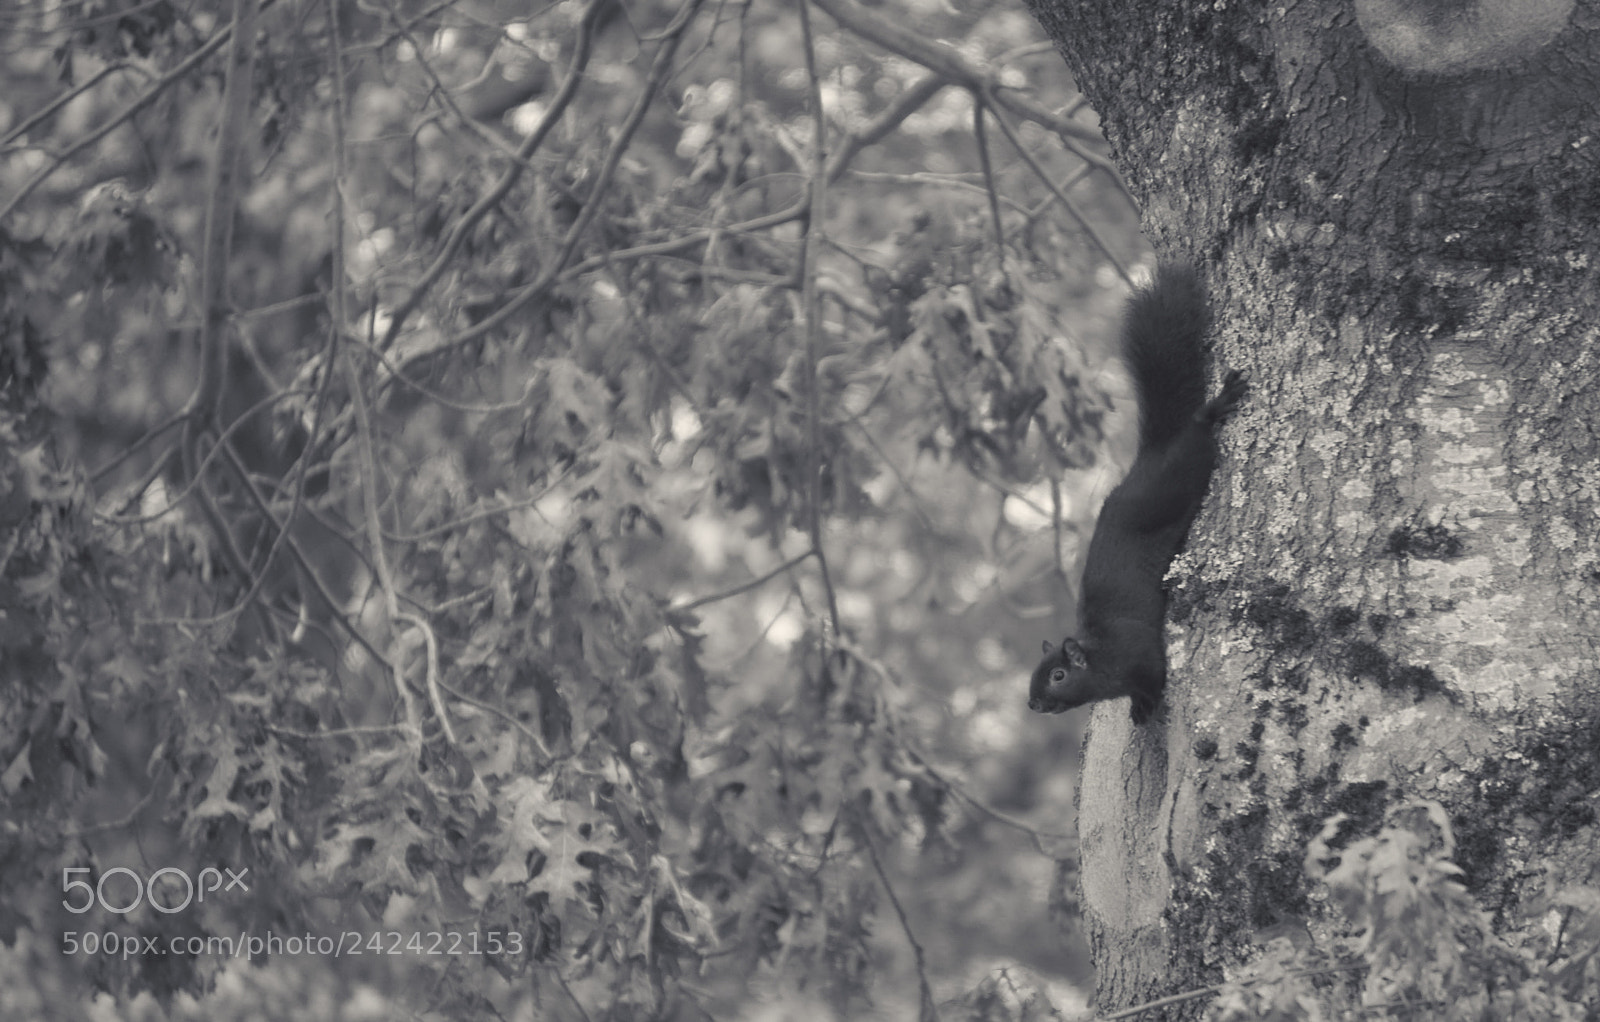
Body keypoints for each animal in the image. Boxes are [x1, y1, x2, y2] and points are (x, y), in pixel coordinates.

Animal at [1028, 264, 1246, 724]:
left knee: (1195, 437)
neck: (1101, 659)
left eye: (1058, 675)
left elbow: (1155, 676)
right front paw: (1138, 707)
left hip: (1177, 476)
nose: (1033, 703)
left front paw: (1149, 703)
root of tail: (1150, 453)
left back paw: (1214, 408)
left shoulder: (1140, 653)